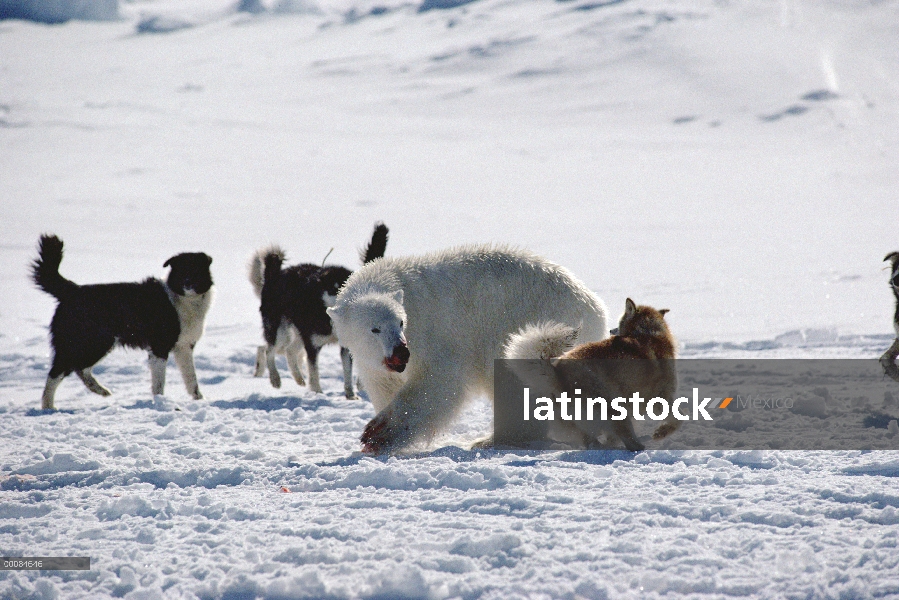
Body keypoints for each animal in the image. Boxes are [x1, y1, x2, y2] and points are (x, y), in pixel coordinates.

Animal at [31, 232, 214, 410]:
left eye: (196, 270)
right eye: (182, 271)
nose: (188, 283)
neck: (183, 299)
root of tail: (73, 290)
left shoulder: (184, 347)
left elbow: (191, 379)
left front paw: (199, 400)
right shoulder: (160, 348)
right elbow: (159, 383)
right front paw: (160, 403)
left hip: (97, 344)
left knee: (80, 369)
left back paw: (100, 390)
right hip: (89, 343)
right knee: (57, 373)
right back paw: (48, 408)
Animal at [248, 223, 388, 396]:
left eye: (346, 288)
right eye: (333, 289)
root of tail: (273, 276)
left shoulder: (344, 345)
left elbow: (347, 371)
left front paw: (350, 395)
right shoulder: (312, 345)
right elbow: (314, 372)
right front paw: (317, 393)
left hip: (297, 334)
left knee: (288, 350)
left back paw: (298, 378)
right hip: (279, 331)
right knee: (270, 350)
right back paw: (275, 378)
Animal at [326, 243, 616, 450]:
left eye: (400, 322)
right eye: (374, 329)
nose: (400, 352)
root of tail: (595, 309)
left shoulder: (434, 333)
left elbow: (438, 381)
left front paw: (379, 434)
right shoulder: (371, 360)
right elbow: (384, 384)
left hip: (526, 323)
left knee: (514, 383)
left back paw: (493, 439)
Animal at [506, 300, 676, 450]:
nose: (611, 331)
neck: (646, 332)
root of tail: (558, 375)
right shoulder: (663, 394)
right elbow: (676, 418)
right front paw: (663, 433)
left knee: (593, 442)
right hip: (611, 406)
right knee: (625, 437)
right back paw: (638, 448)